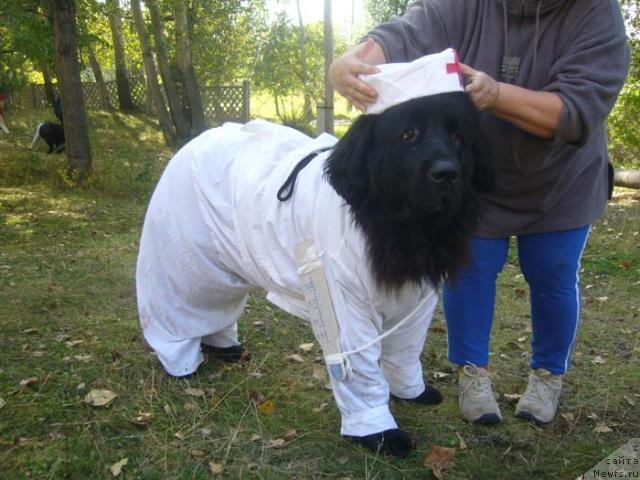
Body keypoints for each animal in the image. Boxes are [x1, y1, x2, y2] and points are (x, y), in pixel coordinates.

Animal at [136, 92, 496, 460]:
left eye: (458, 137)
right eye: (409, 134)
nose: (447, 173)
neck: (400, 229)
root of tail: (197, 140)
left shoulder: (414, 306)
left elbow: (404, 354)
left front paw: (413, 392)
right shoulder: (347, 308)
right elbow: (362, 373)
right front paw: (380, 433)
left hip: (222, 269)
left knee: (214, 308)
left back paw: (223, 345)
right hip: (183, 269)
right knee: (177, 310)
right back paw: (181, 363)